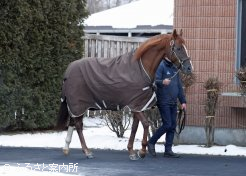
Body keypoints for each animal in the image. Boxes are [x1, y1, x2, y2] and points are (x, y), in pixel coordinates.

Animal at [56, 29, 193, 160]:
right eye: (179, 48)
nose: (189, 68)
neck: (142, 68)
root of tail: (69, 69)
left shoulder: (138, 106)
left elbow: (134, 128)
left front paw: (132, 151)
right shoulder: (136, 106)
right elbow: (146, 124)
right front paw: (142, 151)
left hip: (77, 107)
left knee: (72, 123)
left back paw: (66, 149)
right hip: (79, 105)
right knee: (78, 126)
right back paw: (87, 151)